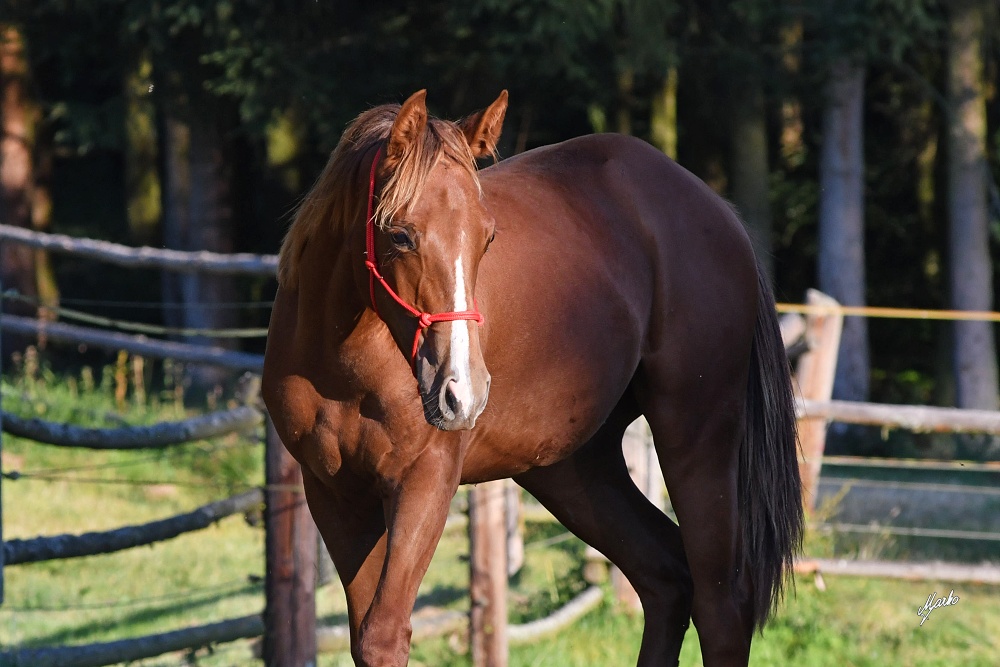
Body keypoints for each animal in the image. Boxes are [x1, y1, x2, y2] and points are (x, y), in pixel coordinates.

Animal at [262, 90, 800, 667]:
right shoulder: (333, 493)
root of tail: (717, 211)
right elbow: (365, 636)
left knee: (721, 607)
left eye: (487, 237)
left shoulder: (424, 481)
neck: (345, 366)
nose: (462, 392)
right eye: (401, 236)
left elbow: (383, 635)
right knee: (667, 579)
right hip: (574, 469)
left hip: (697, 442)